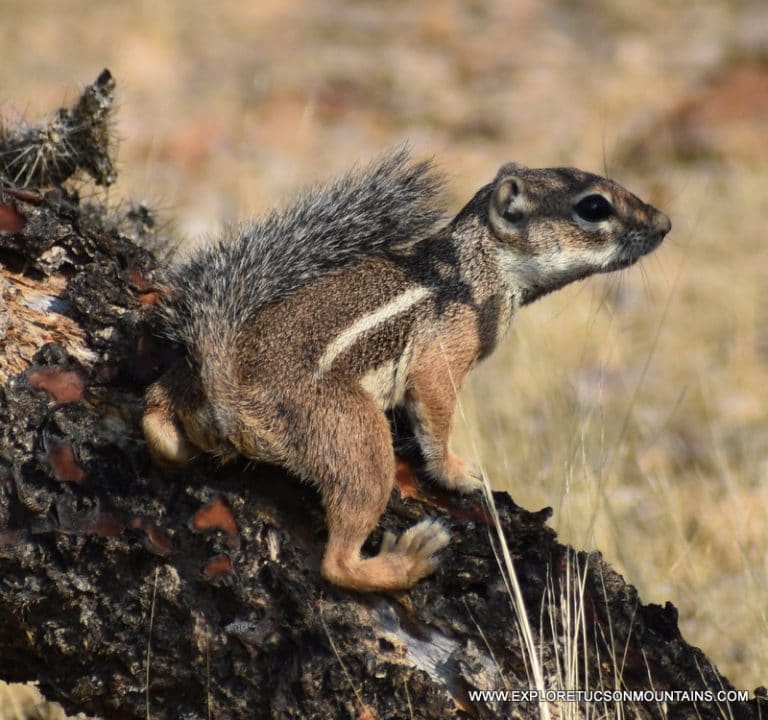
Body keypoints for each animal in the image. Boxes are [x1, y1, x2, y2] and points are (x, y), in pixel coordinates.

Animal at [141, 146, 668, 592]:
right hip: (353, 435)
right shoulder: (446, 345)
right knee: (338, 561)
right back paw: (408, 559)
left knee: (153, 416)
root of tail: (228, 390)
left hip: (183, 389)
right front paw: (458, 472)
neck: (476, 267)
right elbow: (434, 406)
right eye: (594, 207)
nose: (665, 222)